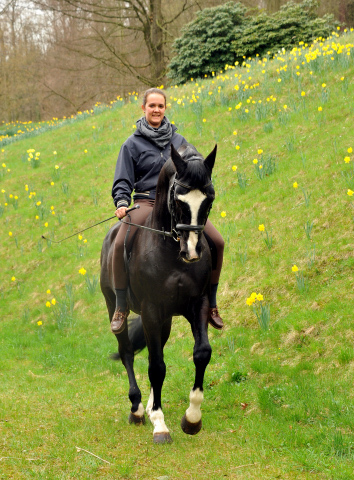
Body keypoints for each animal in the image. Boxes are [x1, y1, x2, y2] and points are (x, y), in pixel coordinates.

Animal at [99, 143, 216, 446]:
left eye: (209, 199)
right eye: (178, 199)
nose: (192, 252)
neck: (171, 252)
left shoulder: (197, 304)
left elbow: (201, 353)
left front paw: (192, 418)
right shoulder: (151, 310)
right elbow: (156, 367)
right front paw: (160, 426)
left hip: (165, 320)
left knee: (156, 349)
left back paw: (151, 407)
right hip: (116, 307)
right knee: (127, 352)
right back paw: (139, 409)